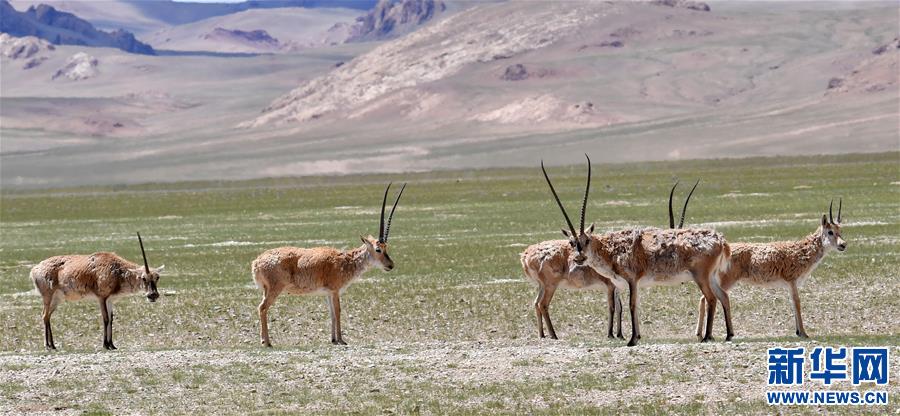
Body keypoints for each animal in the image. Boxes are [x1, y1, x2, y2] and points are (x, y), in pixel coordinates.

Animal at [29, 232, 166, 350]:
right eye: (143, 278)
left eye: (157, 277)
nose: (153, 295)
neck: (117, 271)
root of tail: (35, 269)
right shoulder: (102, 298)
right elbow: (105, 318)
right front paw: (105, 345)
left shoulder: (110, 300)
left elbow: (111, 319)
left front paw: (112, 345)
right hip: (48, 296)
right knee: (44, 315)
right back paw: (48, 345)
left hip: (56, 299)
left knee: (48, 316)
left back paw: (53, 345)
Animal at [253, 184, 408, 346]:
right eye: (378, 249)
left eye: (386, 247)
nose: (390, 265)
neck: (346, 261)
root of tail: (257, 262)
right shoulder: (335, 291)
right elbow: (338, 311)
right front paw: (341, 339)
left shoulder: (328, 293)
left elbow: (332, 314)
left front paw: (333, 339)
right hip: (274, 289)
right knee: (262, 308)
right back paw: (266, 342)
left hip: (267, 290)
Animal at [520, 154, 624, 340]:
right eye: (571, 243)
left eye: (587, 240)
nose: (579, 258)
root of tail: (526, 255)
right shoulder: (610, 286)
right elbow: (612, 307)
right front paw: (610, 334)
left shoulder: (617, 287)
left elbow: (619, 308)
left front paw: (620, 334)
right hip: (550, 285)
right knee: (543, 304)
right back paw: (553, 335)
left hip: (541, 285)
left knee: (536, 303)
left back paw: (542, 334)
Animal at [540, 158, 732, 346]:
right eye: (572, 242)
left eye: (586, 240)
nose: (579, 257)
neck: (611, 249)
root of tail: (720, 241)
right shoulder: (632, 284)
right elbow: (636, 306)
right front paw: (637, 336)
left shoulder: (632, 280)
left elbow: (632, 305)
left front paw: (632, 340)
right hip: (711, 277)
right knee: (723, 296)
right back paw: (729, 335)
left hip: (701, 276)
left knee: (711, 299)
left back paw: (707, 336)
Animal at [696, 198, 852, 338]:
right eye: (830, 231)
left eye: (841, 230)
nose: (843, 245)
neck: (802, 251)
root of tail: (723, 250)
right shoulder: (792, 281)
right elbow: (797, 303)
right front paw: (804, 333)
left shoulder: (790, 284)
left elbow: (793, 303)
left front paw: (798, 331)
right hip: (725, 281)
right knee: (708, 297)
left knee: (706, 298)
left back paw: (701, 334)